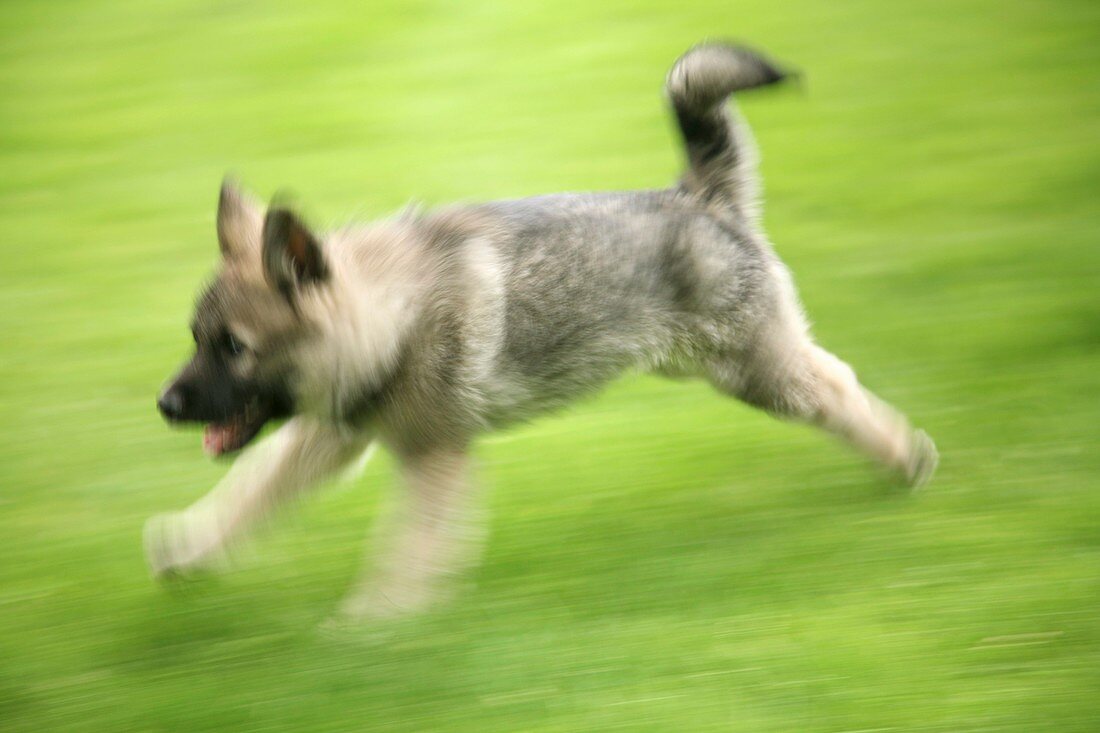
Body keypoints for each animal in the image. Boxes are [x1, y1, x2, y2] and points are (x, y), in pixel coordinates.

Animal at [144, 44, 937, 616]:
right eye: (195, 337)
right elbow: (250, 493)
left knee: (837, 387)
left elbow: (408, 545)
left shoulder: (434, 457)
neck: (395, 311)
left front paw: (376, 625)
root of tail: (704, 197)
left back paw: (907, 457)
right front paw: (186, 546)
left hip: (757, 369)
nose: (165, 404)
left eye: (234, 347)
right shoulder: (332, 436)